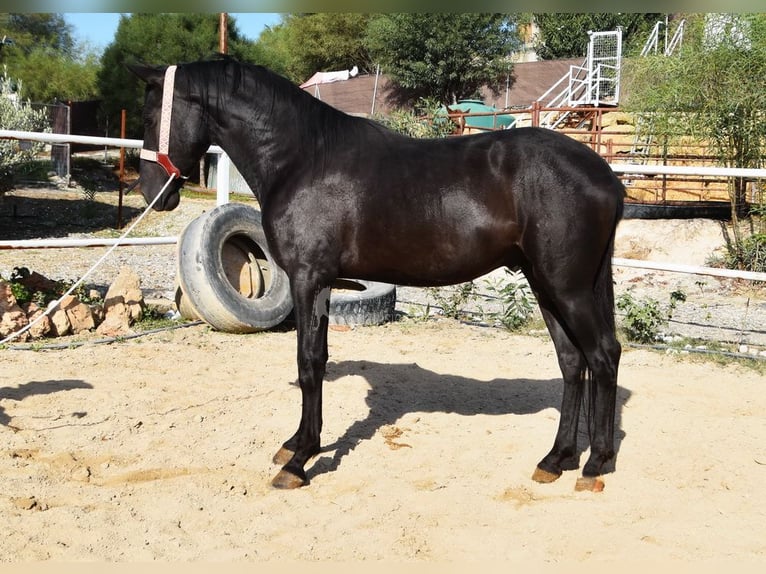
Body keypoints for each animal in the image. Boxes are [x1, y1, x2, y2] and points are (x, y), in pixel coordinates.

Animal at [130, 57, 624, 490]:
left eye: (151, 114)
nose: (153, 193)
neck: (303, 158)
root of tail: (605, 176)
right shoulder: (324, 282)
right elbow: (318, 359)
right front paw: (297, 443)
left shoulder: (309, 277)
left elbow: (308, 363)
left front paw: (299, 461)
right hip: (544, 284)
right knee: (572, 361)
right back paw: (556, 459)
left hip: (568, 288)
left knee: (603, 355)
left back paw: (594, 465)